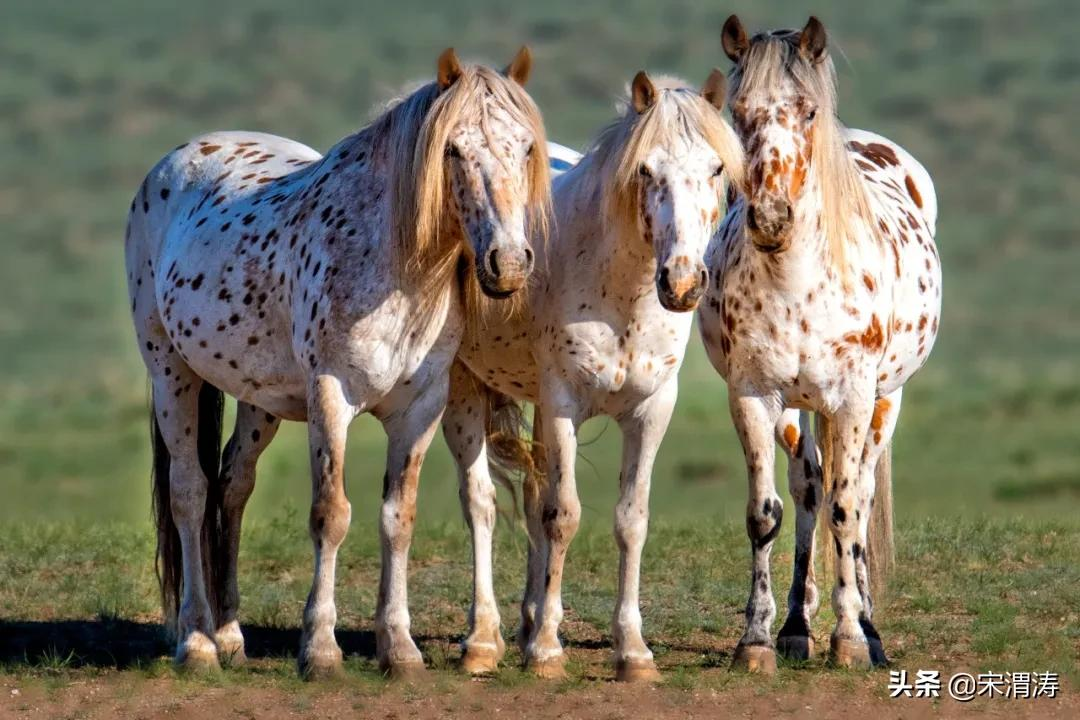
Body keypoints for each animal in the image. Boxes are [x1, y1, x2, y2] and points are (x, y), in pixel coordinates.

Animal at [122, 47, 552, 677]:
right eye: (453, 149)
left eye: (525, 148)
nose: (509, 263)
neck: (393, 266)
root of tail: (174, 162)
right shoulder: (331, 395)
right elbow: (332, 513)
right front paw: (321, 649)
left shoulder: (420, 407)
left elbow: (398, 517)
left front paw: (398, 647)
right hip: (170, 373)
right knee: (190, 493)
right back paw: (196, 642)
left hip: (258, 398)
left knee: (232, 486)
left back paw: (229, 634)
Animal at [442, 71, 747, 682]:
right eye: (646, 170)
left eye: (716, 169)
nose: (682, 282)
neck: (622, 292)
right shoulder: (564, 405)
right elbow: (563, 516)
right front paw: (547, 652)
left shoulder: (650, 411)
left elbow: (630, 519)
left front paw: (632, 651)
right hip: (465, 393)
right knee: (481, 503)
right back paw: (484, 641)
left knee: (530, 496)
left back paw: (527, 620)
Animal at [695, 14, 941, 673]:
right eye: (739, 112)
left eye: (807, 111)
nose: (771, 216)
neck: (796, 280)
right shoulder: (754, 398)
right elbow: (766, 514)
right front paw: (757, 639)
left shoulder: (854, 399)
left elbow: (847, 508)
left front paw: (853, 637)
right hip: (798, 409)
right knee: (807, 488)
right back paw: (797, 625)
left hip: (885, 401)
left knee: (858, 491)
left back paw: (867, 624)